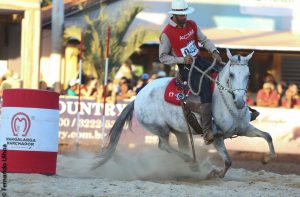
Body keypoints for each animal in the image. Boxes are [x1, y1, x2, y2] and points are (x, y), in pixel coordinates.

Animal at [96, 49, 276, 179]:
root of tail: (137, 97)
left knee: (180, 145)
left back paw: (192, 164)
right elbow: (228, 161)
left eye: (248, 75)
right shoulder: (217, 137)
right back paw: (192, 163)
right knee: (164, 145)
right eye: (231, 75)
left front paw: (267, 158)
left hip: (179, 130)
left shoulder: (244, 129)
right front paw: (214, 174)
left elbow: (267, 136)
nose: (239, 102)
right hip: (160, 128)